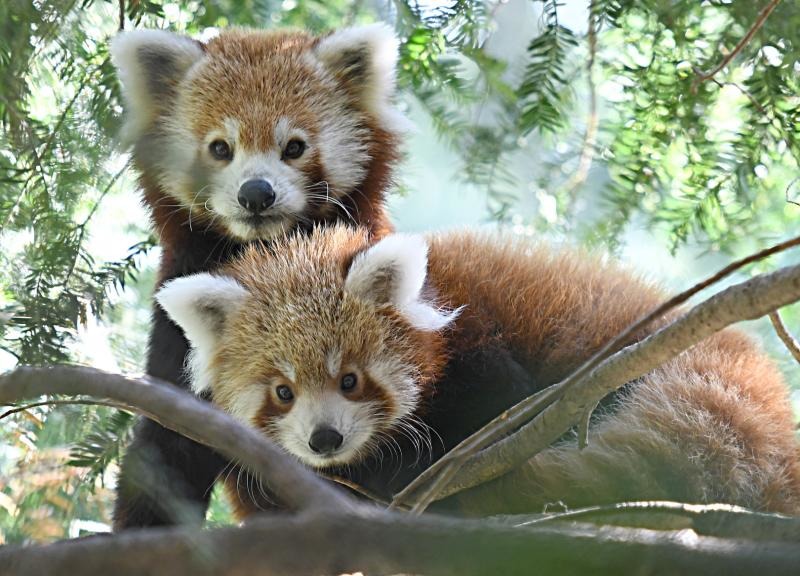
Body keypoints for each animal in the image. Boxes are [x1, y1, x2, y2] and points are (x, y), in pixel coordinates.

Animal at [108, 24, 406, 528]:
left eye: (294, 147)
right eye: (220, 148)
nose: (256, 193)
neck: (267, 251)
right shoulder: (177, 331)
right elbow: (167, 451)